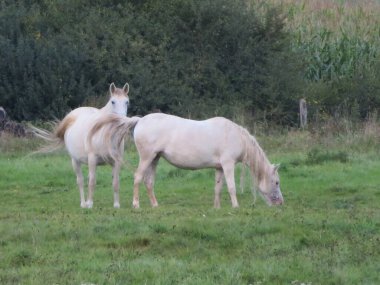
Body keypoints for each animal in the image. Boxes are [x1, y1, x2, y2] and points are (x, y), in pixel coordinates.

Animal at [89, 112, 284, 207]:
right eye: (276, 182)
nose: (281, 202)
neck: (235, 135)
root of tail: (140, 120)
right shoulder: (228, 165)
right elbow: (231, 187)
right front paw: (235, 206)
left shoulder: (219, 168)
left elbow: (218, 188)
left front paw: (217, 207)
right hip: (146, 158)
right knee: (138, 178)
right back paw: (136, 204)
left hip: (155, 159)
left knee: (149, 182)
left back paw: (155, 205)